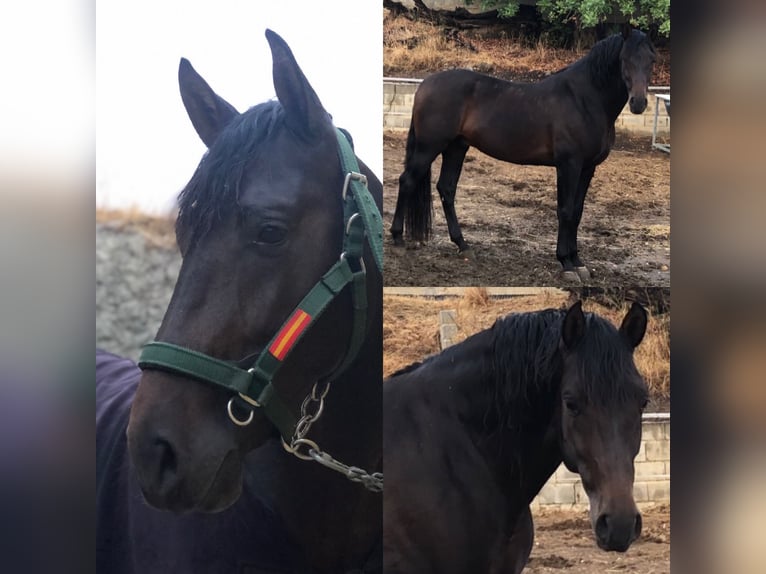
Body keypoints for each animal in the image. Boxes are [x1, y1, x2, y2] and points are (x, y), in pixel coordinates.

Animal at [390, 28, 656, 282]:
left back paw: (463, 245)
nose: (639, 103)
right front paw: (566, 263)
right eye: (624, 59)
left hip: (456, 147)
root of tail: (425, 84)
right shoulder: (568, 165)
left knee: (446, 189)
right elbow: (566, 210)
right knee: (408, 181)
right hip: (428, 147)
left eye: (651, 61)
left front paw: (578, 262)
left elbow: (577, 212)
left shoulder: (588, 168)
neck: (584, 99)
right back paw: (398, 240)